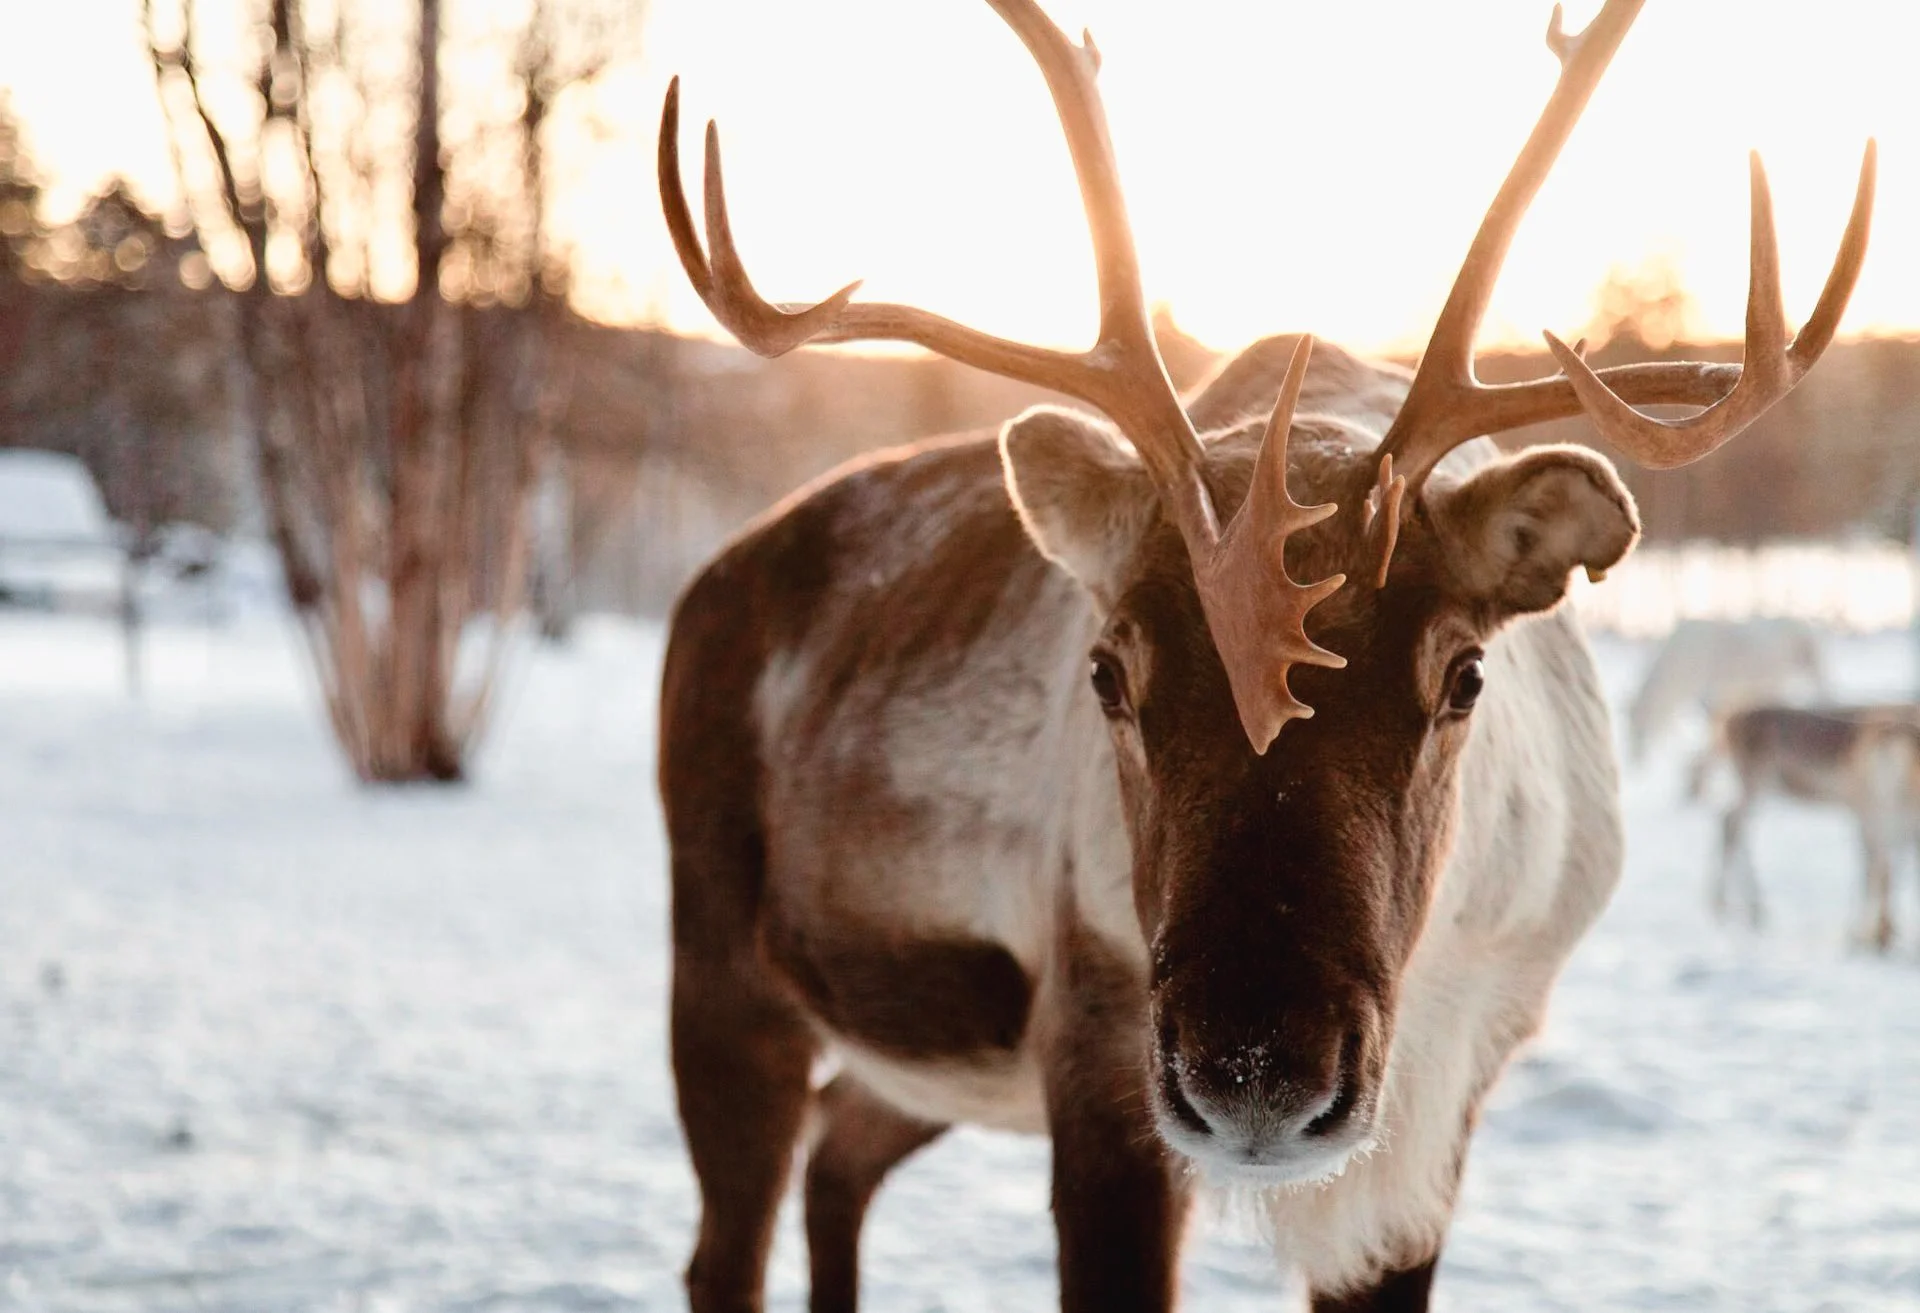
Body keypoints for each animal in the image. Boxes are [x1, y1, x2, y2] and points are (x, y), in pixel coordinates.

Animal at [652, 1, 1874, 1309]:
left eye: (1464, 674)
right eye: (1107, 670)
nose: (1255, 1071)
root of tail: (717, 578)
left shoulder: (1437, 1111)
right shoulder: (1098, 1039)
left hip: (927, 1061)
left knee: (839, 1153)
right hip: (726, 970)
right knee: (726, 1245)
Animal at [1709, 703, 1920, 950]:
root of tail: (1727, 722)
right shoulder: (1870, 818)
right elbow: (1874, 872)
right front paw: (1866, 936)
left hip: (1760, 788)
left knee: (1733, 825)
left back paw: (1750, 908)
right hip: (1755, 783)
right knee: (1731, 825)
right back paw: (1732, 906)